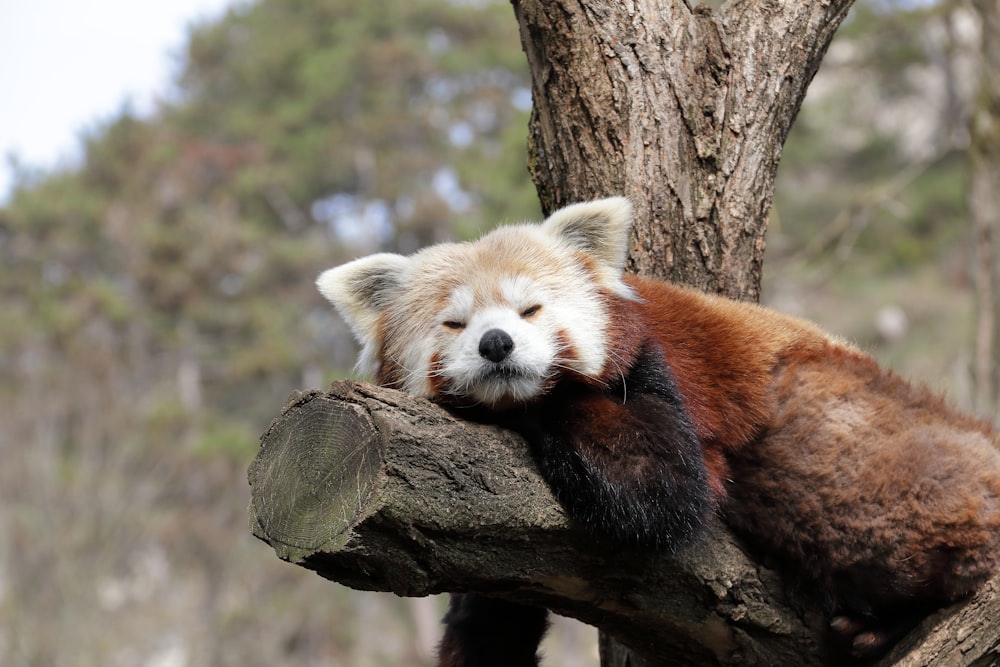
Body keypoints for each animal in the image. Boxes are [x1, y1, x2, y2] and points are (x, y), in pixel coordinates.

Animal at [316, 198, 1000, 667]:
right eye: (455, 323)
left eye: (530, 310)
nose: (496, 344)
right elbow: (489, 605)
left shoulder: (656, 370)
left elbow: (658, 485)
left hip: (823, 419)